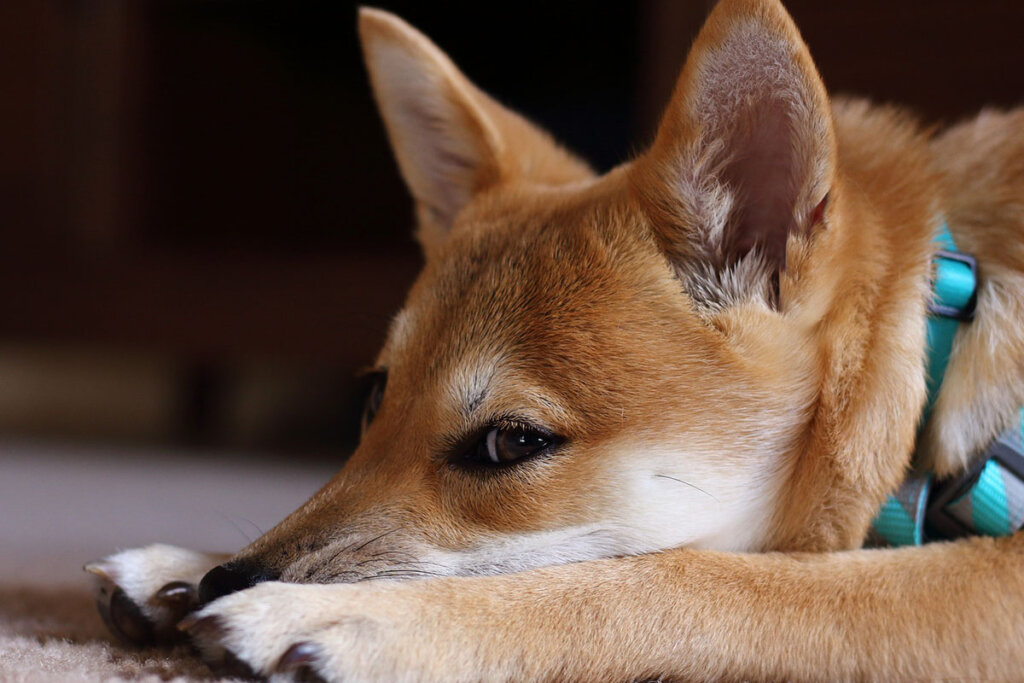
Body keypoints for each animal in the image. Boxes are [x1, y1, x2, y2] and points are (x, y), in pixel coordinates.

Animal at [86, 1, 1024, 679]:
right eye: (375, 397)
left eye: (511, 442)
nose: (227, 581)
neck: (944, 339)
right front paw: (185, 565)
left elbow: (690, 578)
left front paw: (357, 617)